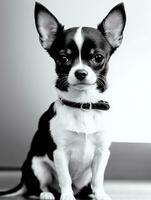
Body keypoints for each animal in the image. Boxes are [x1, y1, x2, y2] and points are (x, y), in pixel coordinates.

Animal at [0, 1, 125, 200]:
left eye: (98, 57)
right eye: (63, 58)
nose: (80, 73)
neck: (83, 105)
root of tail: (23, 178)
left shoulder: (102, 152)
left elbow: (98, 178)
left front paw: (100, 195)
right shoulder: (59, 153)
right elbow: (65, 177)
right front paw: (67, 197)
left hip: (83, 176)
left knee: (85, 185)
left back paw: (88, 194)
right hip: (37, 166)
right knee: (37, 188)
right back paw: (47, 194)